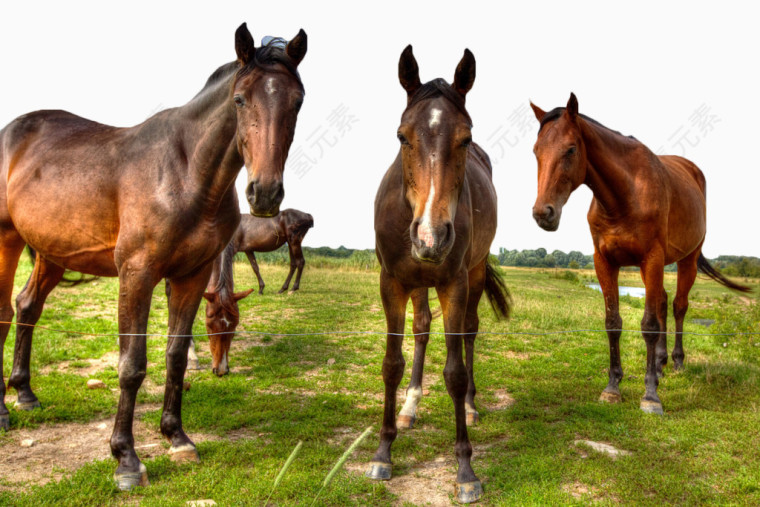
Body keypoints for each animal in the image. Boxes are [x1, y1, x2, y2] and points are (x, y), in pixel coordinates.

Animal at [0, 21, 308, 490]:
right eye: (240, 99)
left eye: (297, 100)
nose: (265, 193)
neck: (185, 172)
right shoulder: (138, 273)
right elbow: (132, 365)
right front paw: (126, 458)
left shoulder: (192, 275)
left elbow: (176, 356)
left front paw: (177, 437)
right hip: (6, 241)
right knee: (3, 312)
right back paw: (2, 412)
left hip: (53, 253)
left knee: (27, 306)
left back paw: (24, 393)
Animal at [366, 46, 508, 504]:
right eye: (401, 136)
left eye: (464, 138)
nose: (431, 236)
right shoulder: (391, 282)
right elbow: (392, 363)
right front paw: (383, 451)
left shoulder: (454, 283)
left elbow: (455, 372)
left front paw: (465, 469)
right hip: (417, 282)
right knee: (423, 327)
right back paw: (410, 408)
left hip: (474, 274)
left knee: (469, 331)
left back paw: (472, 407)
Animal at [532, 94, 752, 416]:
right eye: (536, 151)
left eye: (571, 149)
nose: (543, 213)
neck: (624, 195)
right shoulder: (605, 262)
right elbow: (613, 322)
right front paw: (613, 386)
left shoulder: (652, 258)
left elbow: (649, 325)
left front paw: (650, 396)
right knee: (661, 302)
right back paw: (659, 364)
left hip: (686, 260)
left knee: (678, 306)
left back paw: (676, 362)